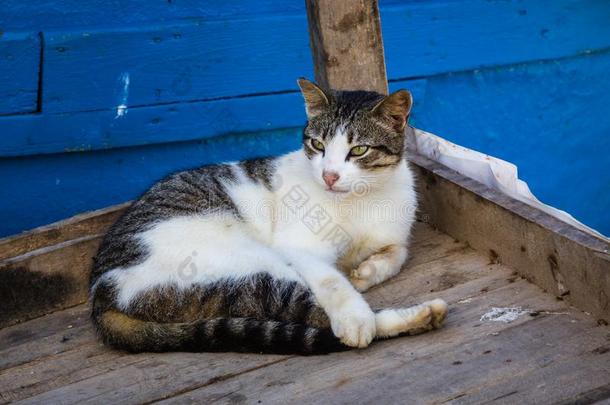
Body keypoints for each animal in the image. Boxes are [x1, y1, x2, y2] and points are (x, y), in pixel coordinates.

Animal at [90, 79, 448, 354]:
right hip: (252, 268)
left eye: (358, 150)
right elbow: (333, 282)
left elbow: (397, 253)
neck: (363, 198)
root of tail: (100, 294)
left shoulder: (393, 236)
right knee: (316, 314)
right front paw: (354, 313)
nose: (329, 176)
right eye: (317, 145)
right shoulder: (298, 248)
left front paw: (366, 271)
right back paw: (406, 317)